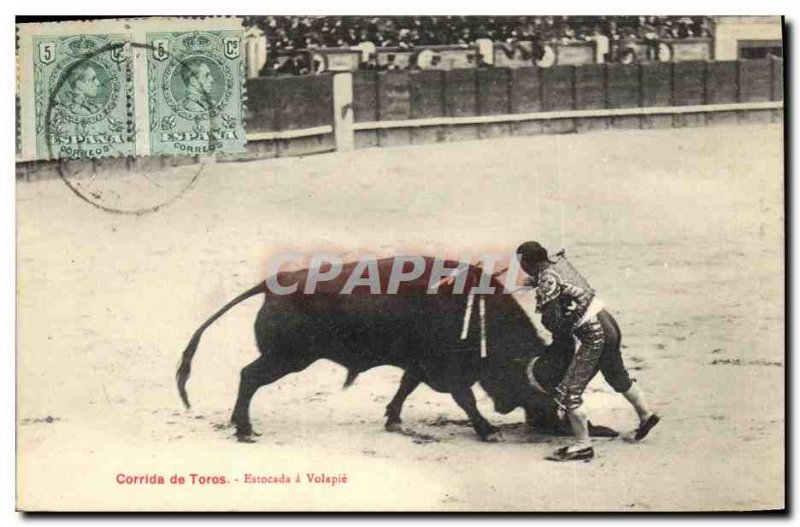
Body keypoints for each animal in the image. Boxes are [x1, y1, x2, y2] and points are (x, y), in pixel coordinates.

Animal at [175, 256, 612, 442]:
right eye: (535, 383)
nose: (550, 423)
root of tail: (274, 282)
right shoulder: (445, 369)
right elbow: (466, 399)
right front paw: (487, 430)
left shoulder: (419, 365)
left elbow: (404, 388)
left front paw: (393, 420)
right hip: (288, 358)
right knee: (248, 376)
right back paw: (245, 429)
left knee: (247, 376)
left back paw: (240, 425)